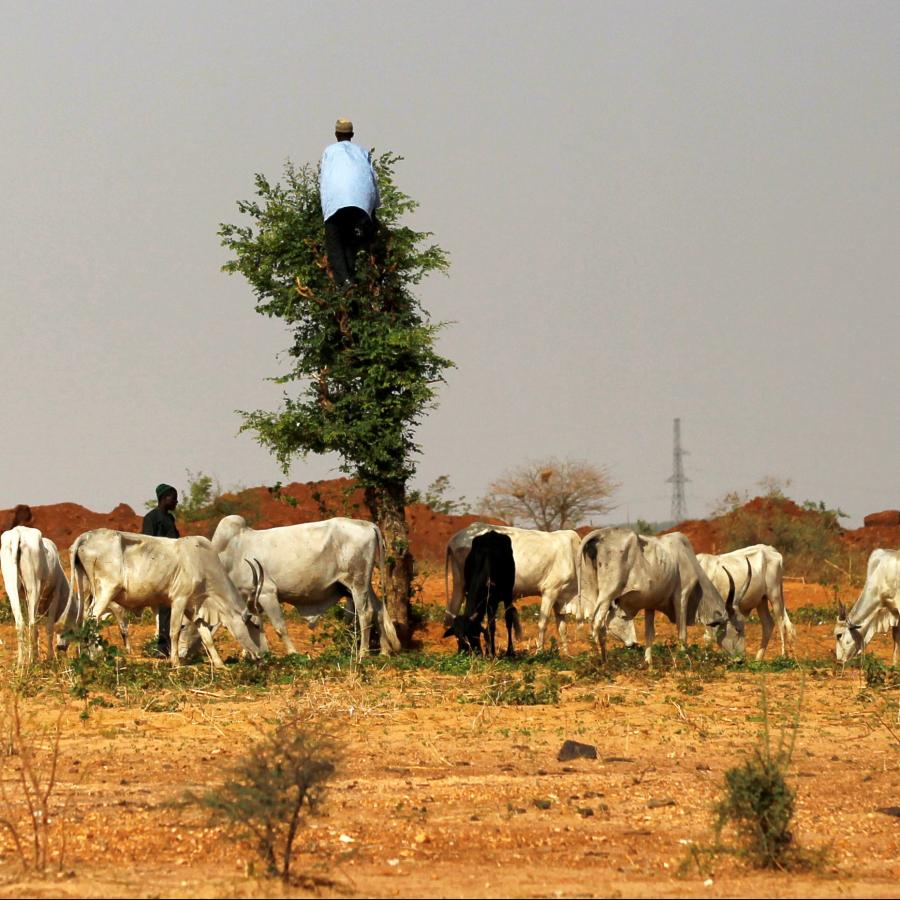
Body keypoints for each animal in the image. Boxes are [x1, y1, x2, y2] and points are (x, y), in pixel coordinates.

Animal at [0, 524, 76, 664]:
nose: (61, 647)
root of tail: (18, 532)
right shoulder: (55, 593)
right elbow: (49, 627)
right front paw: (50, 657)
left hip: (11, 586)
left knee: (20, 623)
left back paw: (21, 662)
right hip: (33, 586)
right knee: (32, 624)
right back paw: (32, 660)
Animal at [70, 528, 268, 668]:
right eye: (256, 626)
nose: (264, 655)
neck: (202, 563)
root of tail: (87, 536)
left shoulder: (193, 607)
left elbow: (206, 637)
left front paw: (220, 665)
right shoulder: (179, 600)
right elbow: (174, 631)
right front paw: (176, 662)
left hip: (87, 590)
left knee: (83, 619)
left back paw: (85, 654)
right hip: (107, 590)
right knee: (92, 619)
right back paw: (95, 655)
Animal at [206, 516, 402, 656]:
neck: (232, 555)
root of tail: (368, 525)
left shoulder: (267, 593)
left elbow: (279, 627)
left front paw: (293, 653)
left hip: (357, 581)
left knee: (365, 613)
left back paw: (363, 654)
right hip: (360, 584)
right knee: (378, 609)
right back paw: (385, 651)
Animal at [576, 524, 744, 664]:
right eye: (738, 629)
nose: (741, 660)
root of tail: (600, 534)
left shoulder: (650, 605)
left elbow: (649, 634)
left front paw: (648, 662)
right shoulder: (682, 596)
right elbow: (682, 633)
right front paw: (685, 659)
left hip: (592, 592)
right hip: (608, 593)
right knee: (596, 623)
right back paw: (602, 662)